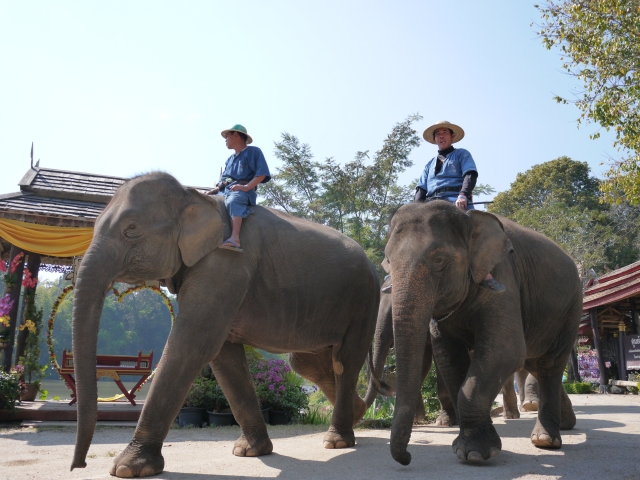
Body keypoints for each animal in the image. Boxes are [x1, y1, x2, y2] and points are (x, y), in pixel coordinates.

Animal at [70, 172, 380, 476]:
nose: (78, 465)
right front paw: (249, 451)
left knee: (344, 361)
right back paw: (357, 413)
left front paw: (128, 467)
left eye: (131, 228)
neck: (193, 197)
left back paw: (337, 440)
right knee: (308, 363)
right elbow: (224, 357)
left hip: (364, 301)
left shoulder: (225, 264)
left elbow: (192, 346)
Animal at [382, 202, 584, 464]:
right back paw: (567, 424)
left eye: (439, 260)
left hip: (571, 308)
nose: (407, 457)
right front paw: (469, 449)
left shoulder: (503, 276)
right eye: (387, 261)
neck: (467, 219)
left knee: (550, 365)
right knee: (535, 363)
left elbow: (506, 351)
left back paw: (545, 440)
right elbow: (448, 359)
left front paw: (474, 453)